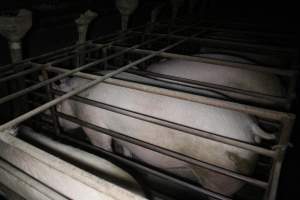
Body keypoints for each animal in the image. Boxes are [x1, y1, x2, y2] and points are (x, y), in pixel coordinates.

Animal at [54, 54, 282, 197]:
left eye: (58, 104)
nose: (54, 117)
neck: (78, 97)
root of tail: (250, 125)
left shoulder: (92, 121)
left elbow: (102, 146)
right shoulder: (123, 134)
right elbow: (127, 150)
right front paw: (128, 159)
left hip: (222, 172)